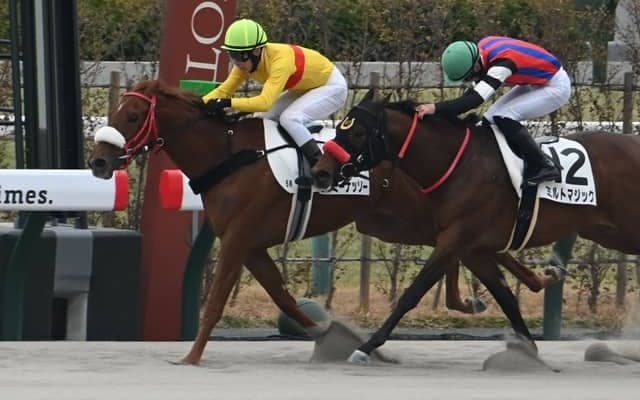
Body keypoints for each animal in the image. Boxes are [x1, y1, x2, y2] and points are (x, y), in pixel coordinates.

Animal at [86, 80, 558, 365]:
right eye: (117, 112)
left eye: (132, 116)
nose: (98, 162)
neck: (230, 156)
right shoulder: (251, 244)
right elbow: (285, 299)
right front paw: (333, 337)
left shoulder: (238, 238)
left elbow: (217, 299)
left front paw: (191, 356)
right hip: (391, 223)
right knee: (477, 251)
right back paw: (525, 285)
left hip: (409, 218)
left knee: (468, 248)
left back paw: (517, 286)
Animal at [311, 88, 640, 364]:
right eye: (340, 128)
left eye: (358, 132)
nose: (320, 172)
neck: (458, 164)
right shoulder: (474, 248)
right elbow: (506, 297)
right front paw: (527, 350)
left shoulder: (454, 240)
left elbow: (412, 294)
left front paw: (366, 347)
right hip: (609, 232)